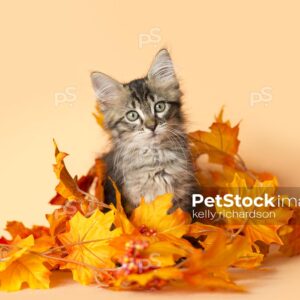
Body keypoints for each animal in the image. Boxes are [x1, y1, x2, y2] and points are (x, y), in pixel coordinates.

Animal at [91, 49, 199, 213]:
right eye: (132, 115)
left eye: (160, 107)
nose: (151, 126)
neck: (155, 158)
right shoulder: (131, 199)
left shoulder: (183, 195)